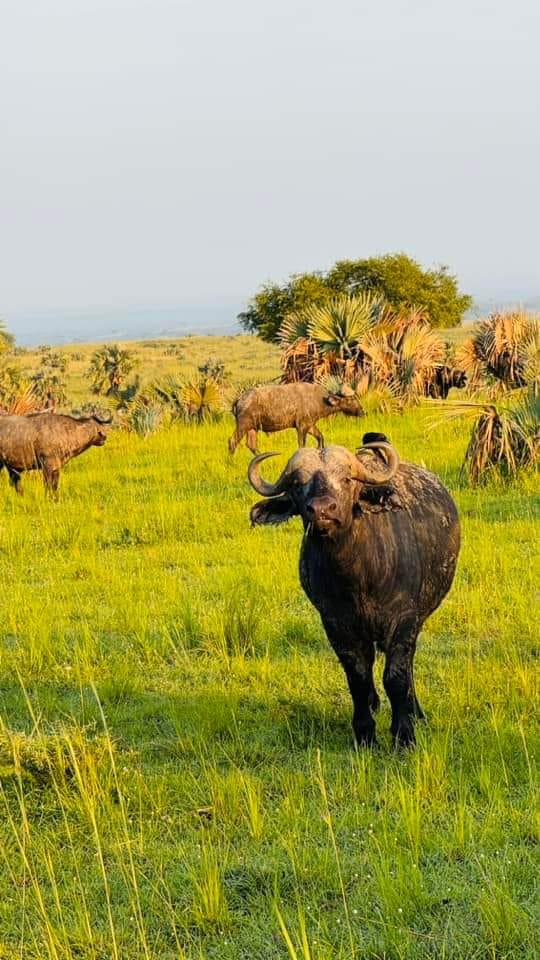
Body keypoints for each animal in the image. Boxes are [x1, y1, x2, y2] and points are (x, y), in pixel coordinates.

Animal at [229, 382, 363, 455]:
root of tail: (240, 398)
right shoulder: (301, 427)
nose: (362, 411)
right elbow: (302, 444)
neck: (319, 399)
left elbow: (320, 437)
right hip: (243, 425)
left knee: (251, 445)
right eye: (351, 399)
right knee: (232, 441)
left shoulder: (310, 425)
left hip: (252, 429)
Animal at [247, 432, 460, 748]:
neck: (358, 578)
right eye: (297, 484)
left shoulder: (404, 620)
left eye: (347, 479)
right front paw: (365, 733)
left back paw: (415, 710)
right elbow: (357, 676)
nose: (322, 510)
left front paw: (404, 733)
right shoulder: (336, 624)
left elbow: (396, 676)